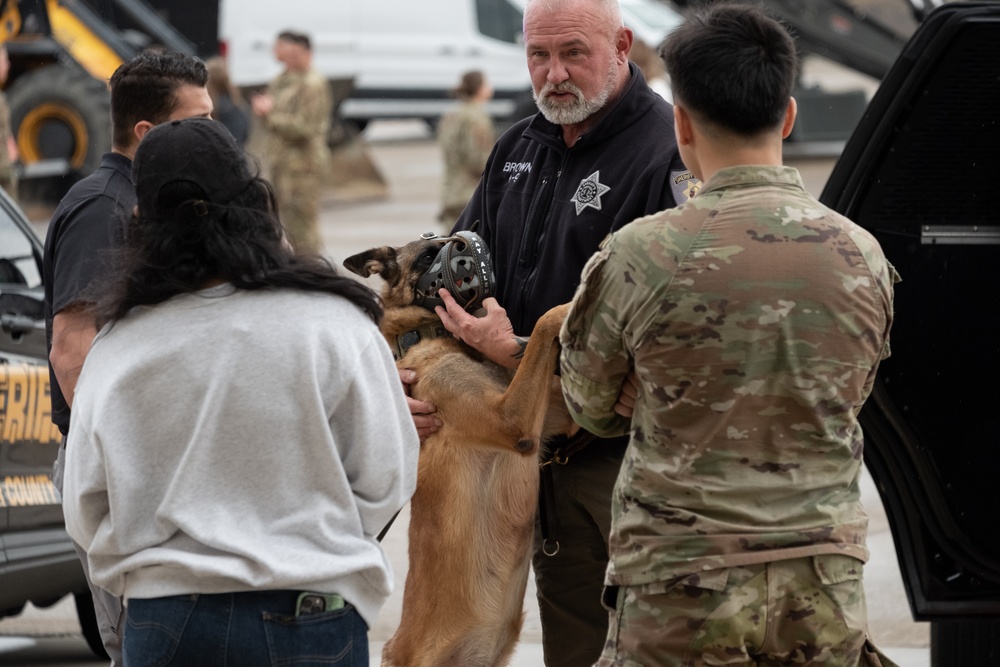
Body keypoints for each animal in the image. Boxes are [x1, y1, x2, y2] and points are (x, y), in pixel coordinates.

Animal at [348, 235, 576, 667]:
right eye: (426, 255)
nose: (466, 244)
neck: (427, 334)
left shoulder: (559, 414)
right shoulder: (511, 422)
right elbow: (543, 323)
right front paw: (571, 303)